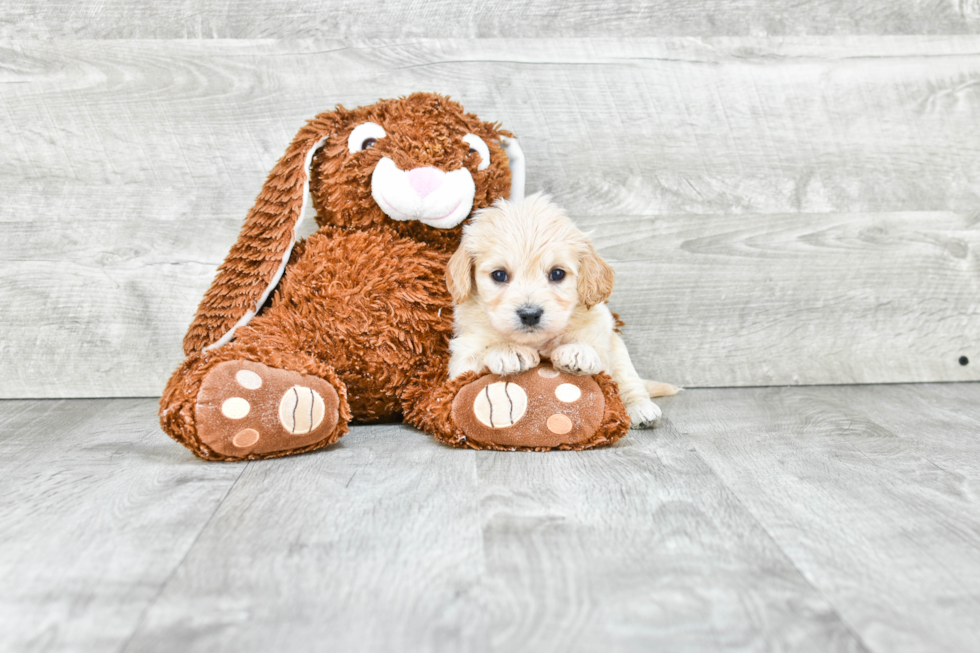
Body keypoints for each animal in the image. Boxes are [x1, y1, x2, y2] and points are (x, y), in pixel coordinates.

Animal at [448, 194, 676, 428]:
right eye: (499, 275)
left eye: (557, 273)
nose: (530, 314)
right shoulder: (462, 355)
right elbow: (479, 353)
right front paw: (508, 351)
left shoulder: (601, 331)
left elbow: (594, 351)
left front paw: (577, 351)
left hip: (619, 350)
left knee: (629, 380)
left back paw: (641, 408)